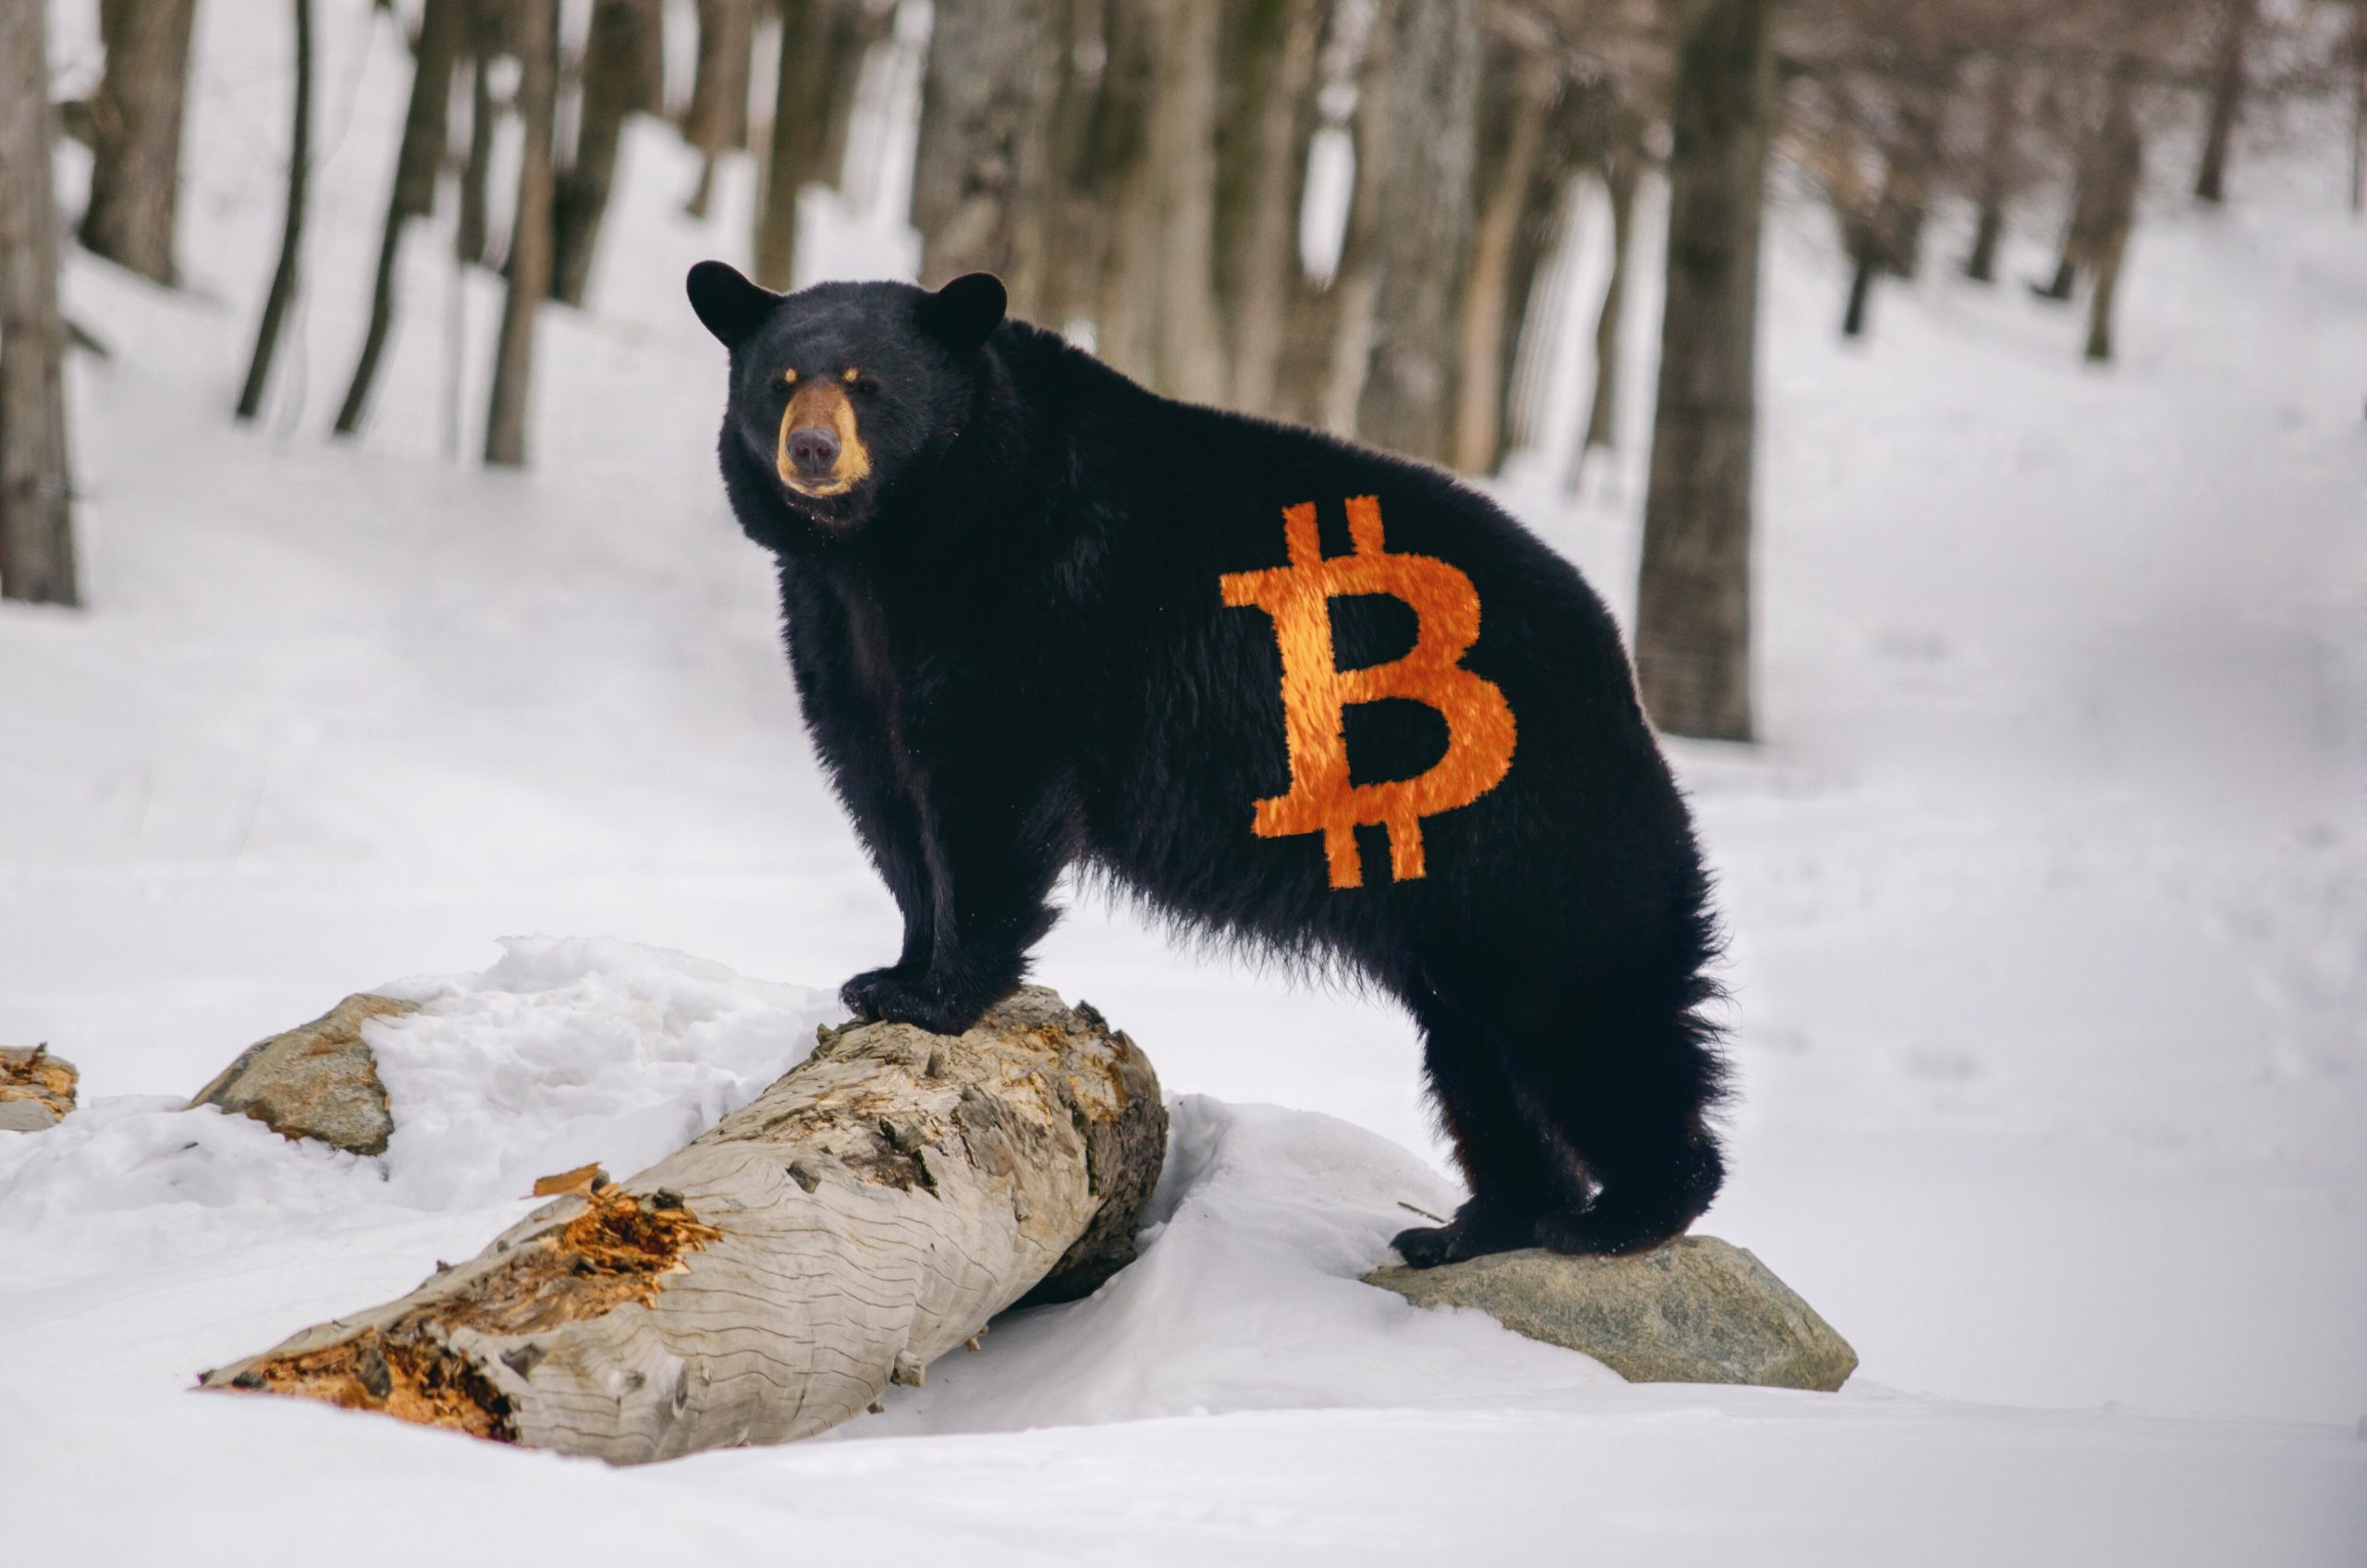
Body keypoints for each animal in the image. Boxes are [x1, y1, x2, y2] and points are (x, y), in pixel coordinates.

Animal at [686, 261, 1729, 1266]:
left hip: (1522, 826)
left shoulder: (1033, 602)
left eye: (868, 382)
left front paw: (936, 993)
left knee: (1583, 1011)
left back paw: (1626, 1212)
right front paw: (888, 970)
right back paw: (1471, 1226)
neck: (899, 543)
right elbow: (887, 800)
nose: (811, 450)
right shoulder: (842, 634)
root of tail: (1617, 676)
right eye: (781, 380)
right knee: (1478, 1047)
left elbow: (989, 792)